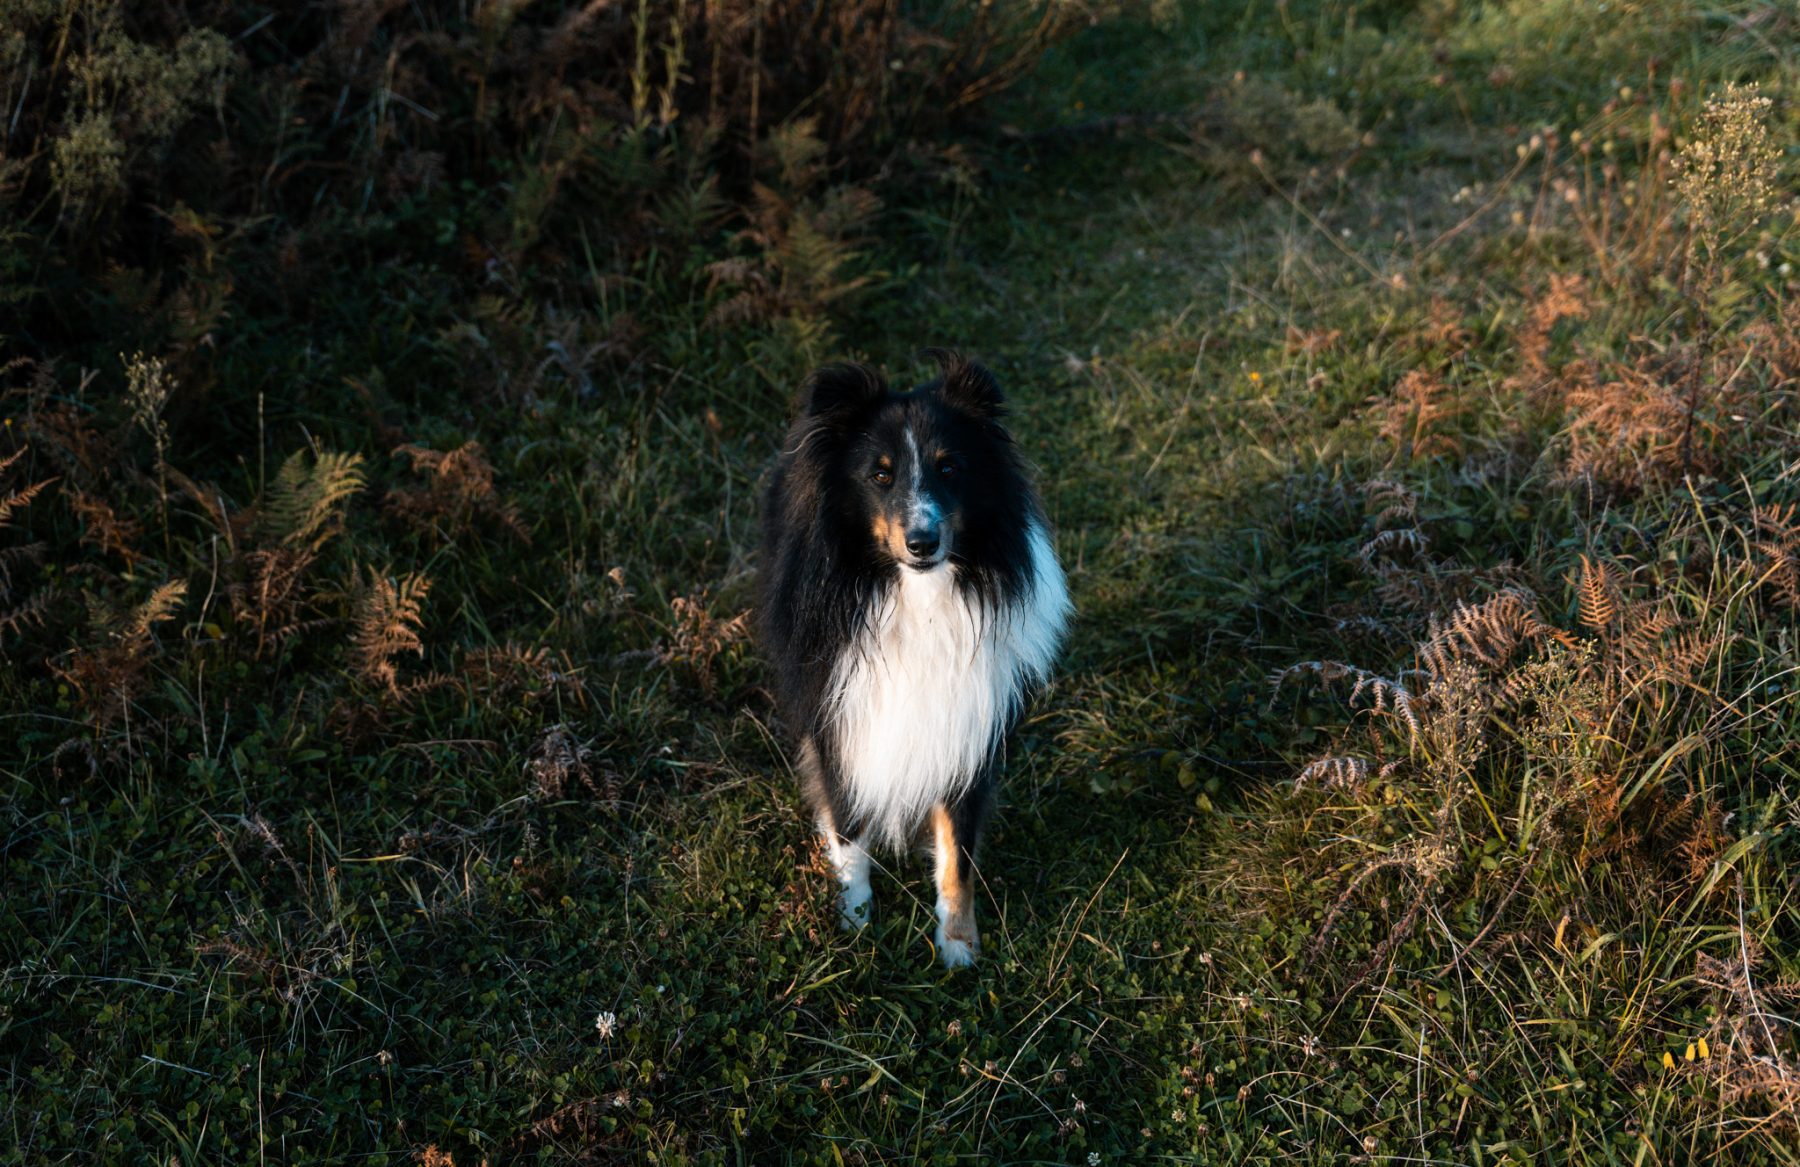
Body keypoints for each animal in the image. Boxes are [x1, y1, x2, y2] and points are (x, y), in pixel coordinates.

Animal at [756, 352, 1065, 965]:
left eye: (950, 469)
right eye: (880, 474)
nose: (924, 543)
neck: (913, 595)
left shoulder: (967, 722)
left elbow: (958, 848)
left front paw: (958, 946)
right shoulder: (840, 715)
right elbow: (849, 828)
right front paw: (854, 925)